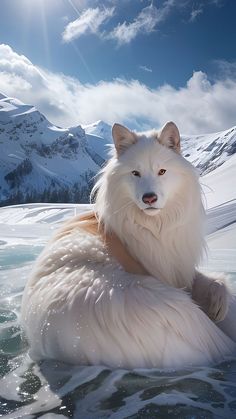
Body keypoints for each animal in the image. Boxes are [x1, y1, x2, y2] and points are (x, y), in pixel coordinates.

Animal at [21, 123, 235, 370]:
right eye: (135, 173)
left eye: (162, 171)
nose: (149, 198)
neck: (152, 224)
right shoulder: (163, 270)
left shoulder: (178, 267)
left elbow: (210, 281)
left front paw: (218, 300)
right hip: (172, 305)